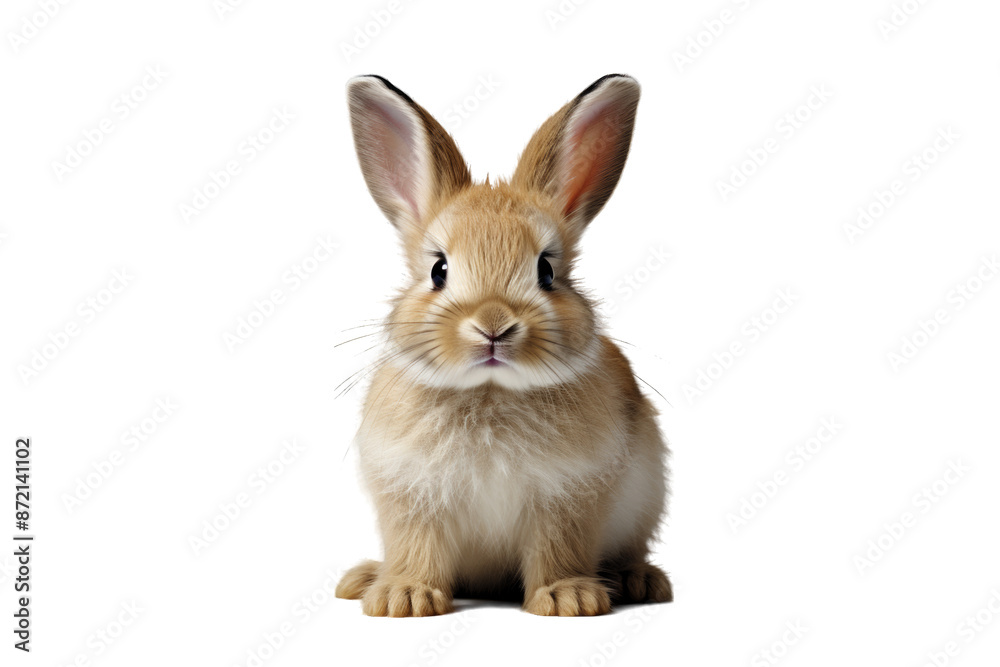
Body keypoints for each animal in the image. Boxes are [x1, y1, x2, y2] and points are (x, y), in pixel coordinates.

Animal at [335, 73, 671, 617]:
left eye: (547, 271)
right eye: (439, 270)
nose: (493, 326)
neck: (490, 390)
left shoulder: (567, 497)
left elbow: (557, 549)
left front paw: (568, 598)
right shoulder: (414, 496)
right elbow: (417, 547)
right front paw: (403, 597)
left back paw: (637, 579)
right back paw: (365, 578)